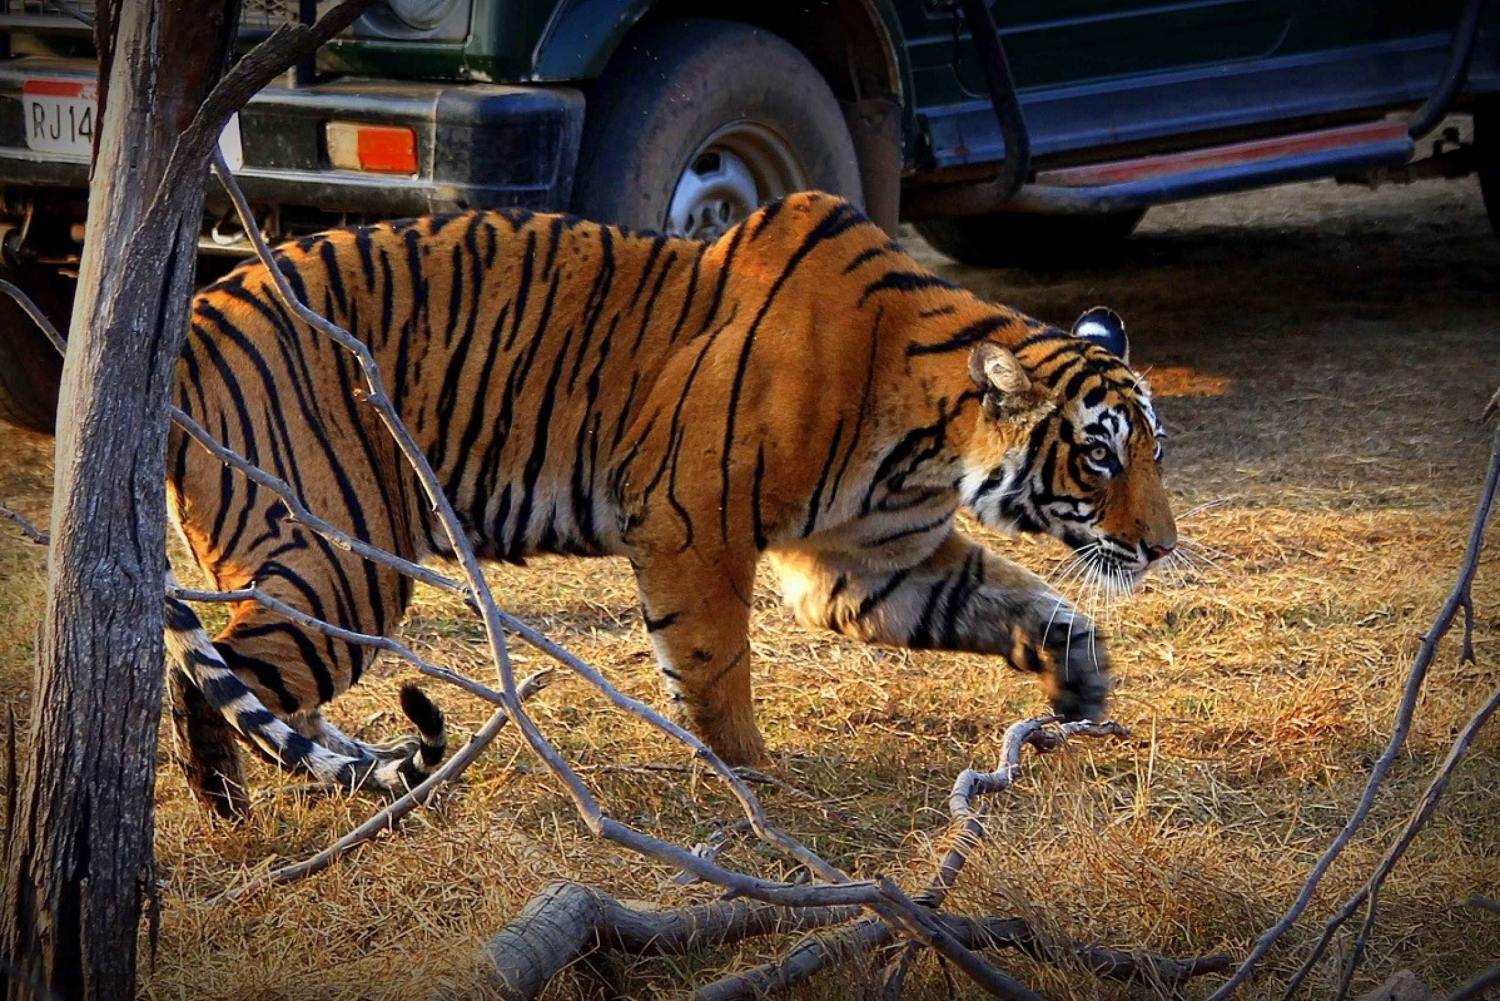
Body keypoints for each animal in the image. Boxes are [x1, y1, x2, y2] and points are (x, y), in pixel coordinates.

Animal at [160, 190, 1176, 815]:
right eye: (1098, 456)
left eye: (1154, 451)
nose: (1163, 547)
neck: (930, 444)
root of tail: (195, 314)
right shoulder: (695, 523)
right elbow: (714, 665)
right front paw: (756, 782)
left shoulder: (875, 565)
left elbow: (1015, 605)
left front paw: (1081, 683)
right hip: (347, 556)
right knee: (209, 676)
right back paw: (229, 816)